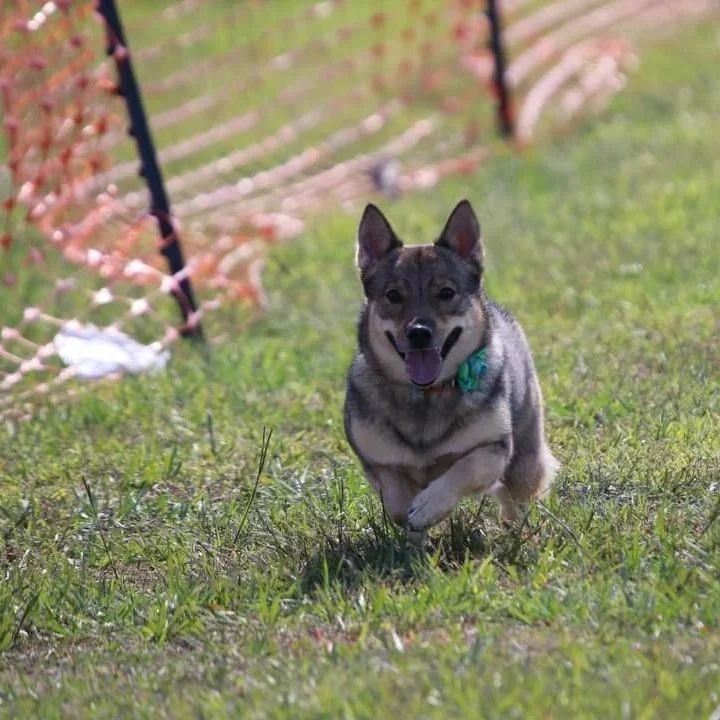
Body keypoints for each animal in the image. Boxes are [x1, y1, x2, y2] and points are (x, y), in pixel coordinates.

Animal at [346, 200, 560, 532]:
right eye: (393, 296)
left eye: (447, 293)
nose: (419, 333)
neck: (426, 395)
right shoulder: (377, 461)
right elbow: (396, 499)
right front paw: (416, 514)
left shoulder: (492, 448)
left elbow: (464, 470)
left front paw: (431, 506)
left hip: (525, 457)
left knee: (516, 497)